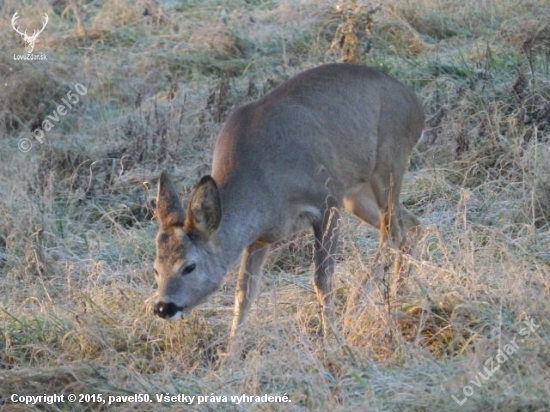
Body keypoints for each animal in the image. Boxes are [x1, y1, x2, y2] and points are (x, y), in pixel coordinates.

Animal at [153, 62, 424, 336]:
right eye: (156, 269)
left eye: (189, 266)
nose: (163, 307)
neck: (262, 184)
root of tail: (414, 101)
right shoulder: (261, 236)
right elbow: (244, 293)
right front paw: (231, 348)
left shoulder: (327, 200)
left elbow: (323, 278)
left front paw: (332, 338)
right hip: (356, 194)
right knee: (411, 223)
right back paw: (399, 293)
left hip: (389, 163)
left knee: (392, 232)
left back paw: (356, 305)